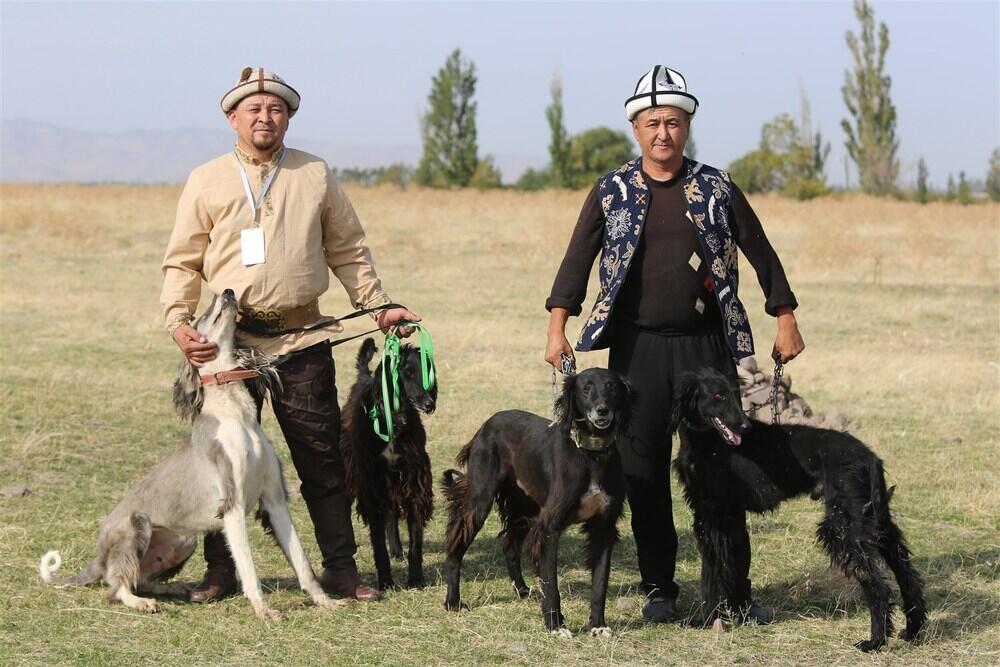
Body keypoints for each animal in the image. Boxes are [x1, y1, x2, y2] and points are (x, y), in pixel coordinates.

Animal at [40, 292, 348, 620]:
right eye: (201, 314)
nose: (228, 292)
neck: (234, 413)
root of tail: (99, 559)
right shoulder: (232, 505)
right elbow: (248, 567)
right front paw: (263, 610)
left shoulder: (275, 500)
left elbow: (302, 561)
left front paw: (325, 601)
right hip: (136, 526)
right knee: (116, 587)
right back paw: (141, 602)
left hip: (183, 540)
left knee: (140, 579)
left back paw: (173, 589)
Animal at [342, 340, 436, 588]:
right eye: (408, 372)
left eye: (426, 371)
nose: (429, 402)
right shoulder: (371, 483)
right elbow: (378, 541)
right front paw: (385, 581)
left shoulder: (414, 480)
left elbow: (415, 540)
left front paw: (415, 579)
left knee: (392, 514)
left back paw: (396, 549)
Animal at [440, 368, 628, 640]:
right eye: (586, 388)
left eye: (612, 387)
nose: (602, 410)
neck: (592, 454)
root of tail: (488, 423)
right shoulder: (550, 527)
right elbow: (551, 583)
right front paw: (556, 625)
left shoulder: (604, 526)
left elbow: (600, 582)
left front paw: (597, 625)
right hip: (480, 501)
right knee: (456, 545)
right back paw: (453, 601)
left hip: (525, 508)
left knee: (509, 547)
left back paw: (521, 590)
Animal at [676, 366, 924, 652]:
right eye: (719, 395)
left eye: (732, 394)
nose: (746, 426)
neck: (706, 440)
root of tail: (870, 456)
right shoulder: (712, 515)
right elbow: (716, 567)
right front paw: (710, 616)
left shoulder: (714, 515)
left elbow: (712, 571)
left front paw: (706, 618)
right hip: (875, 521)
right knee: (907, 575)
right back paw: (914, 630)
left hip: (845, 526)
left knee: (877, 583)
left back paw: (875, 640)